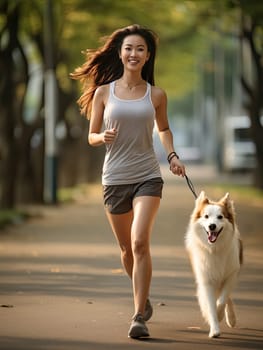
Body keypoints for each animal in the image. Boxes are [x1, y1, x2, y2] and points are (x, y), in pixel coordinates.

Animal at [186, 190, 243, 338]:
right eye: (206, 216)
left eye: (220, 217)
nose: (212, 226)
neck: (214, 248)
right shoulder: (207, 280)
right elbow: (211, 305)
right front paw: (214, 328)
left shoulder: (231, 275)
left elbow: (222, 300)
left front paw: (220, 315)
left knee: (227, 296)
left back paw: (231, 319)